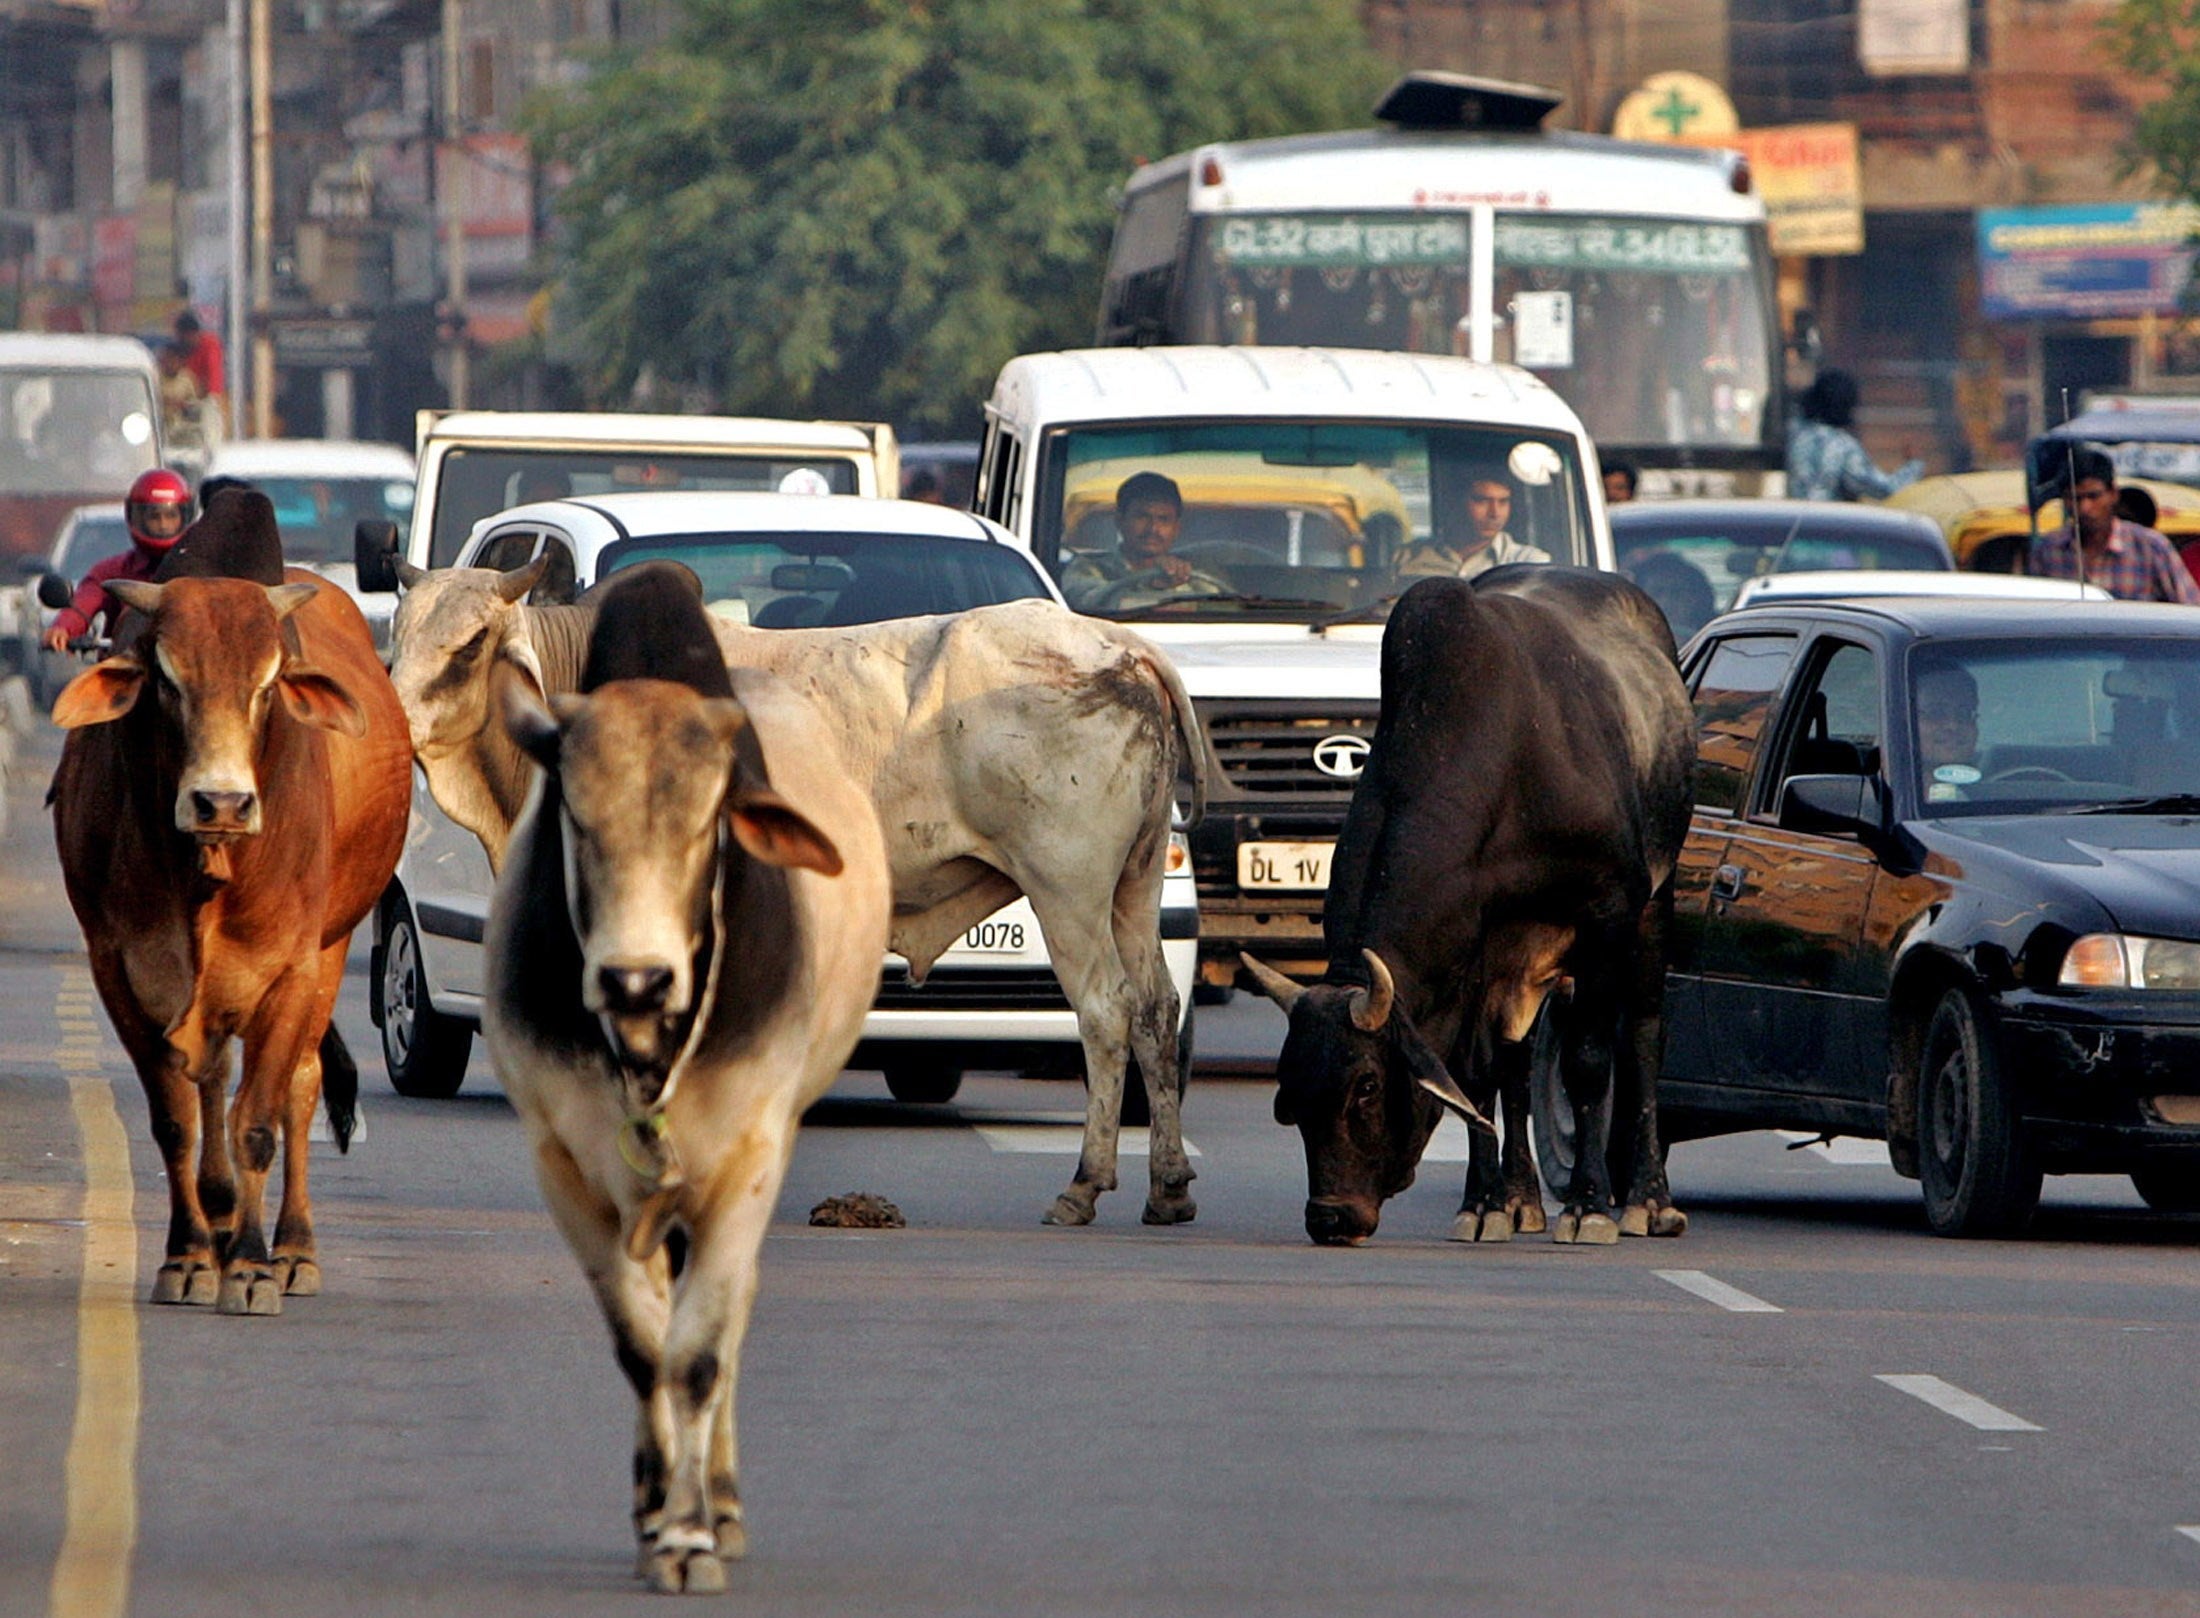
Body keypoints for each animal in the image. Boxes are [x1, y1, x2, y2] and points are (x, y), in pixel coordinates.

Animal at [50, 567, 413, 1320]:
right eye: (166, 679)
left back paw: (292, 1250)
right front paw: (188, 1257)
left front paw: (250, 1266)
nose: (221, 803)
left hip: (330, 950)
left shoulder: (292, 970)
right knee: (213, 1081)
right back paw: (217, 1225)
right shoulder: (118, 970)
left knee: (299, 1086)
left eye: (268, 682)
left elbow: (257, 1124)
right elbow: (177, 1121)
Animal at [404, 559, 1214, 1223]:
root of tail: (1124, 647)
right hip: (1135, 884)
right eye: (399, 637)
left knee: (1105, 1012)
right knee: (1155, 1009)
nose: (398, 722)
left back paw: (1085, 1184)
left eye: (471, 642)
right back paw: (1168, 1186)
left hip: (1067, 889)